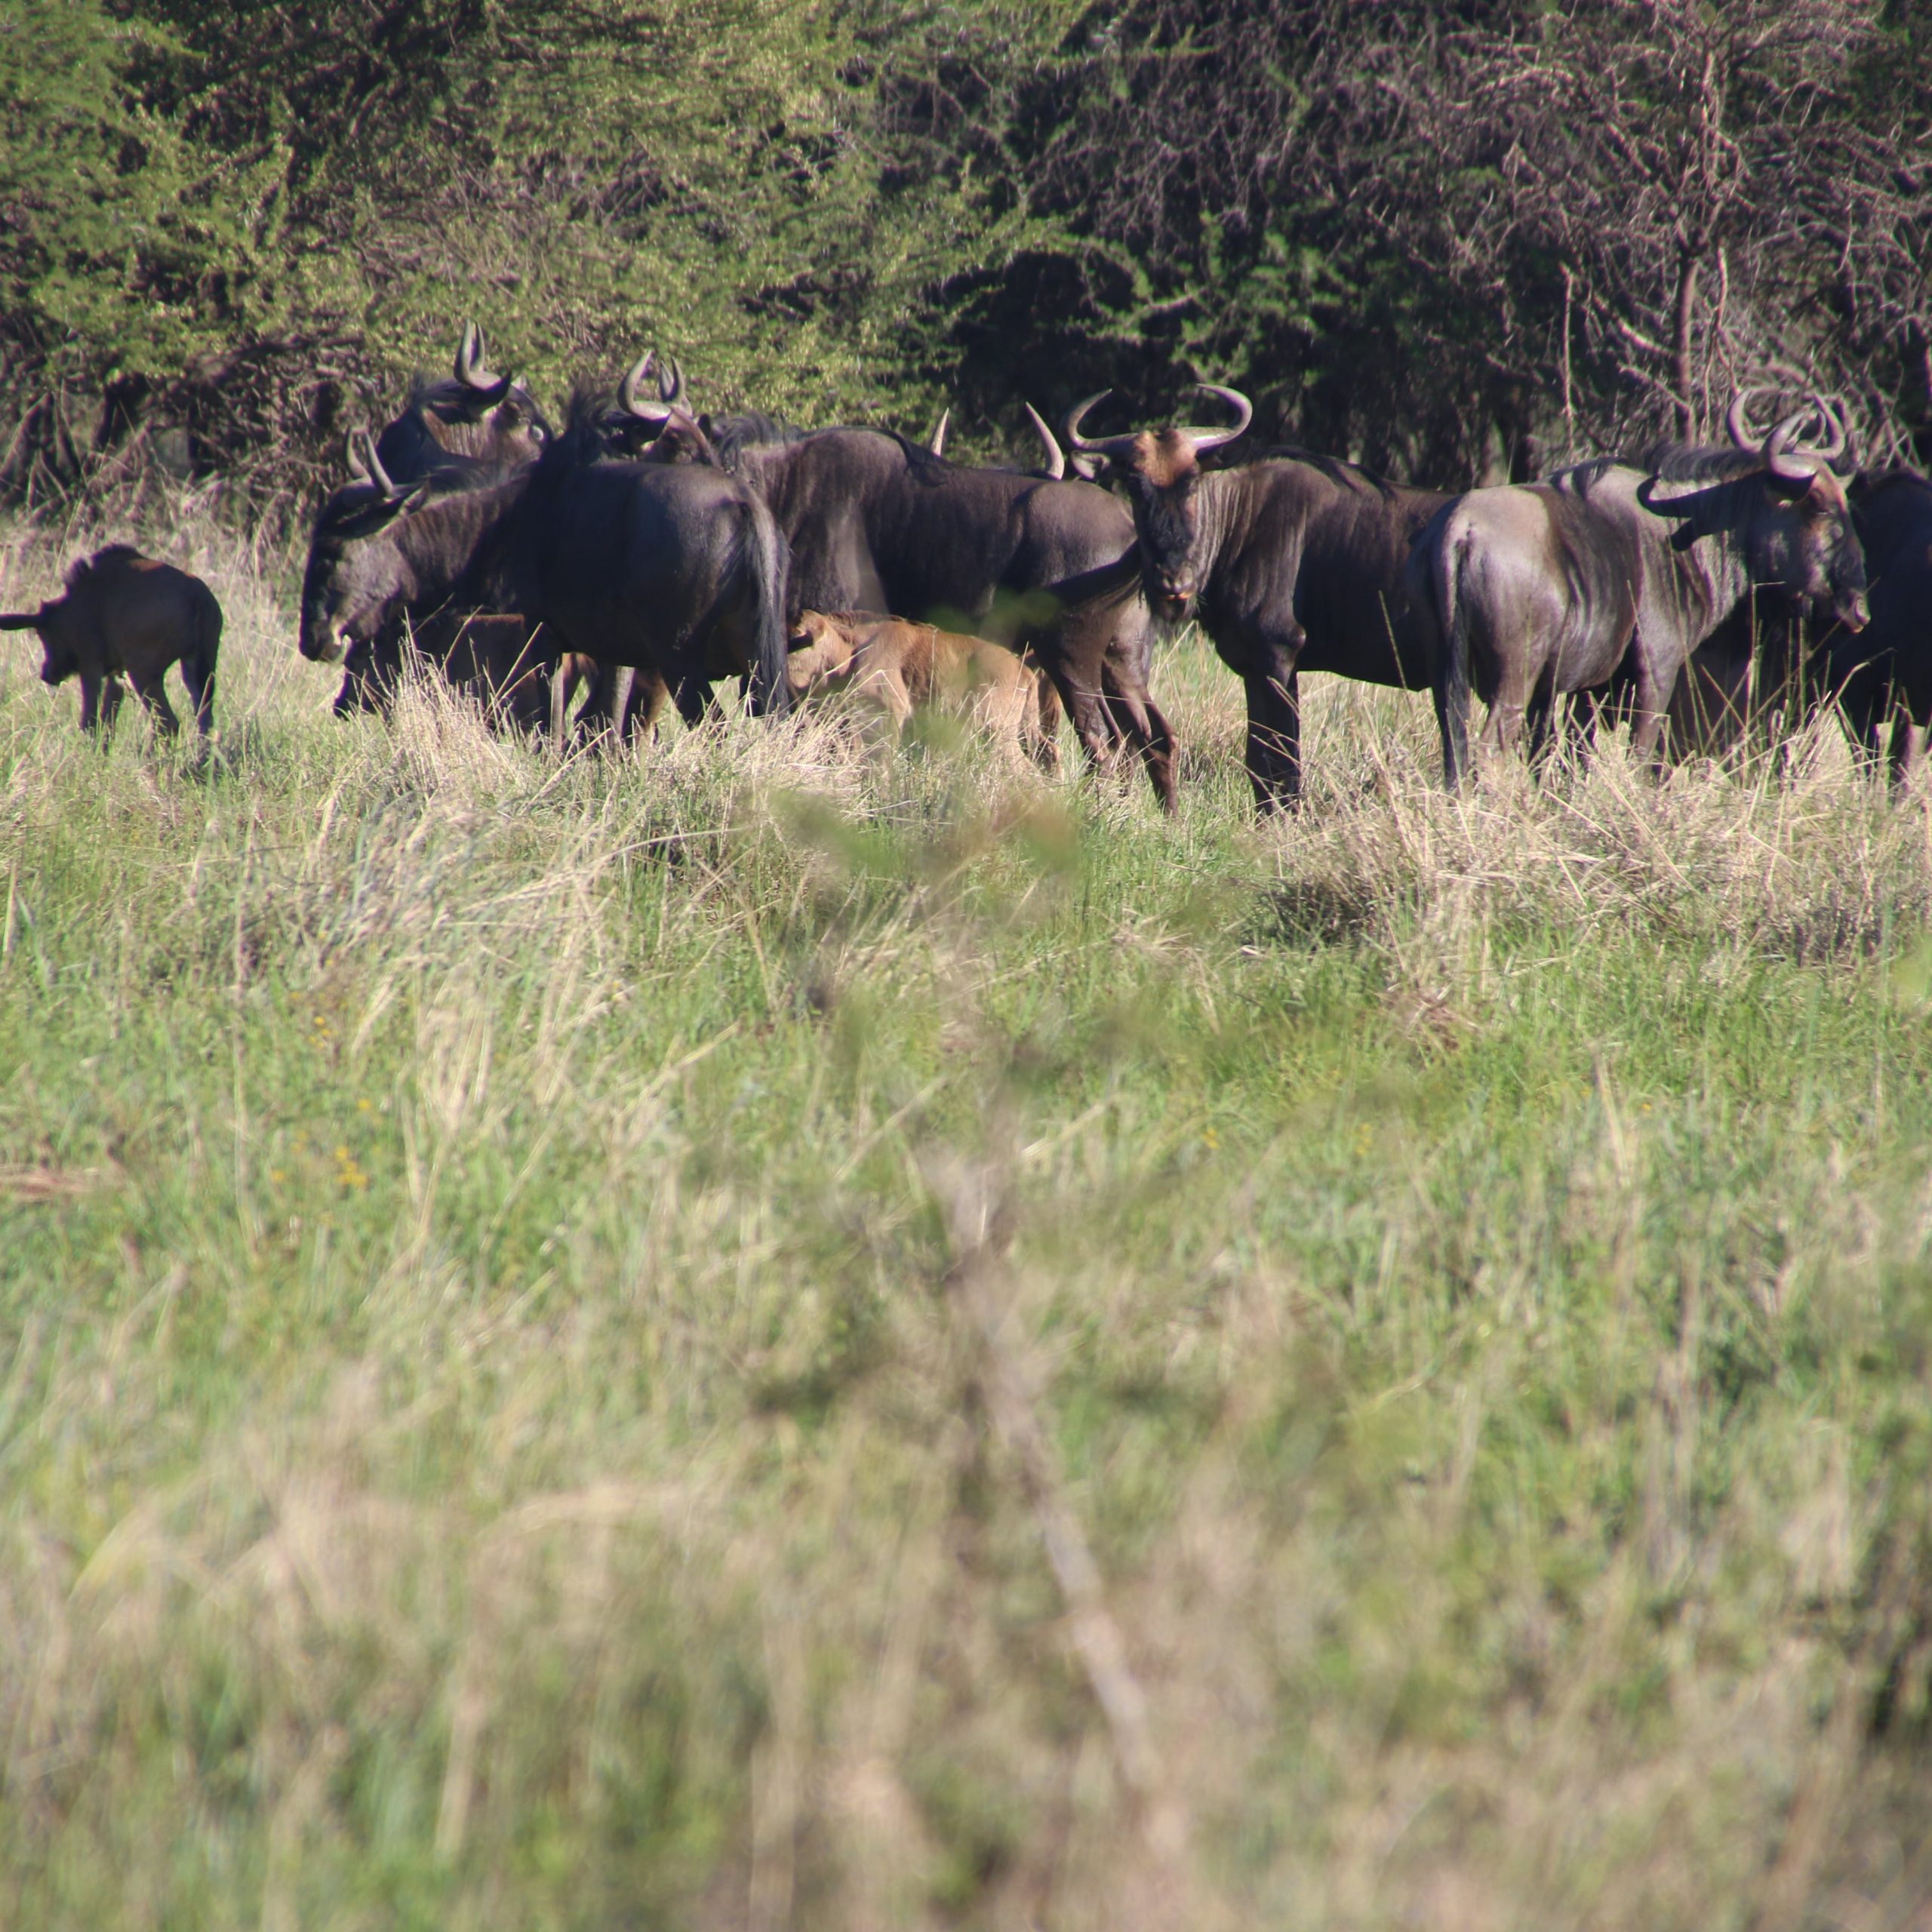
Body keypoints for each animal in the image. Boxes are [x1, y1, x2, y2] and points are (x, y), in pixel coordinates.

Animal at [4, 549, 221, 734]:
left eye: (43, 635)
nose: (47, 674)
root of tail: (197, 596)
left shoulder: (90, 666)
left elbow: (89, 722)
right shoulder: (115, 673)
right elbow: (108, 722)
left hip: (144, 673)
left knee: (168, 724)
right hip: (197, 665)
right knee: (204, 719)